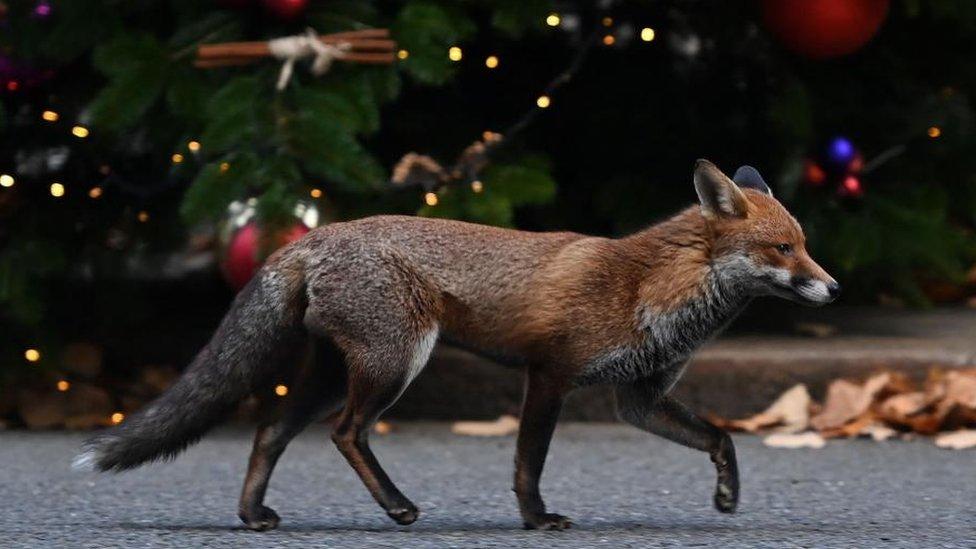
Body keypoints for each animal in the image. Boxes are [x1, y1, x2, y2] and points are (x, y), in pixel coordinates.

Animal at [74, 159, 840, 532]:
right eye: (784, 249)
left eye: (806, 245)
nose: (832, 287)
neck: (652, 285)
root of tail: (314, 236)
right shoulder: (550, 374)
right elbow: (529, 462)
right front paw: (535, 519)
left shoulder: (638, 397)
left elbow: (721, 437)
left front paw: (727, 497)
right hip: (394, 364)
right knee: (345, 434)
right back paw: (395, 506)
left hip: (336, 374)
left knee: (269, 431)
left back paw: (253, 516)